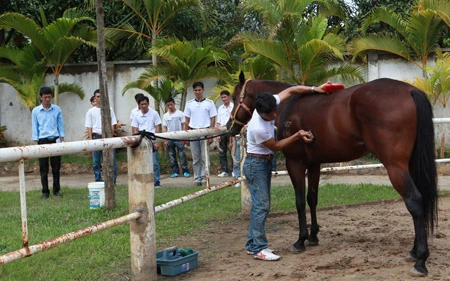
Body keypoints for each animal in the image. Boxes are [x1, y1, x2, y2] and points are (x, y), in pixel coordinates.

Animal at [227, 71, 438, 276]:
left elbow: (299, 201)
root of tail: (410, 90)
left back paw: (420, 260)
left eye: (235, 97)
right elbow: (312, 198)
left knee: (414, 201)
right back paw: (413, 252)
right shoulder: (314, 164)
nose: (231, 127)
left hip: (395, 166)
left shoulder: (295, 164)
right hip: (410, 165)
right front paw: (313, 236)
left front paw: (300, 240)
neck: (288, 106)